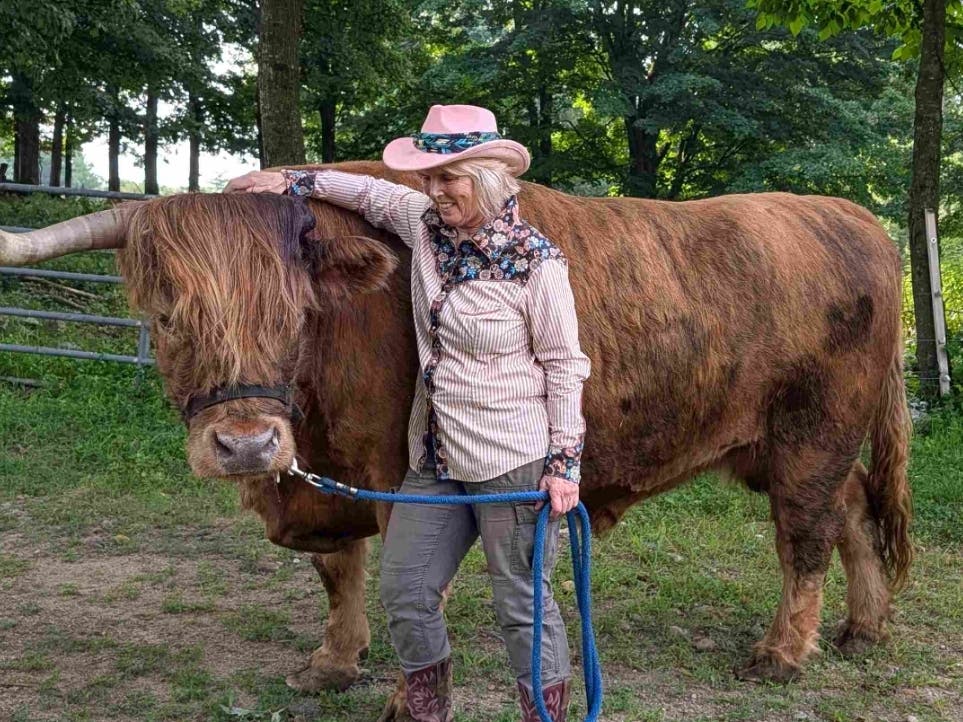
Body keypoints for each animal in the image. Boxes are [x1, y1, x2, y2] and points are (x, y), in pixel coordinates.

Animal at [0, 161, 913, 718]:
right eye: (166, 317)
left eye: (293, 316)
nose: (248, 446)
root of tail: (845, 215)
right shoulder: (323, 476)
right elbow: (339, 573)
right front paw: (334, 660)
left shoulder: (392, 474)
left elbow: (411, 586)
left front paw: (400, 694)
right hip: (787, 444)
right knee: (854, 514)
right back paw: (863, 630)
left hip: (811, 433)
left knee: (805, 537)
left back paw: (782, 652)